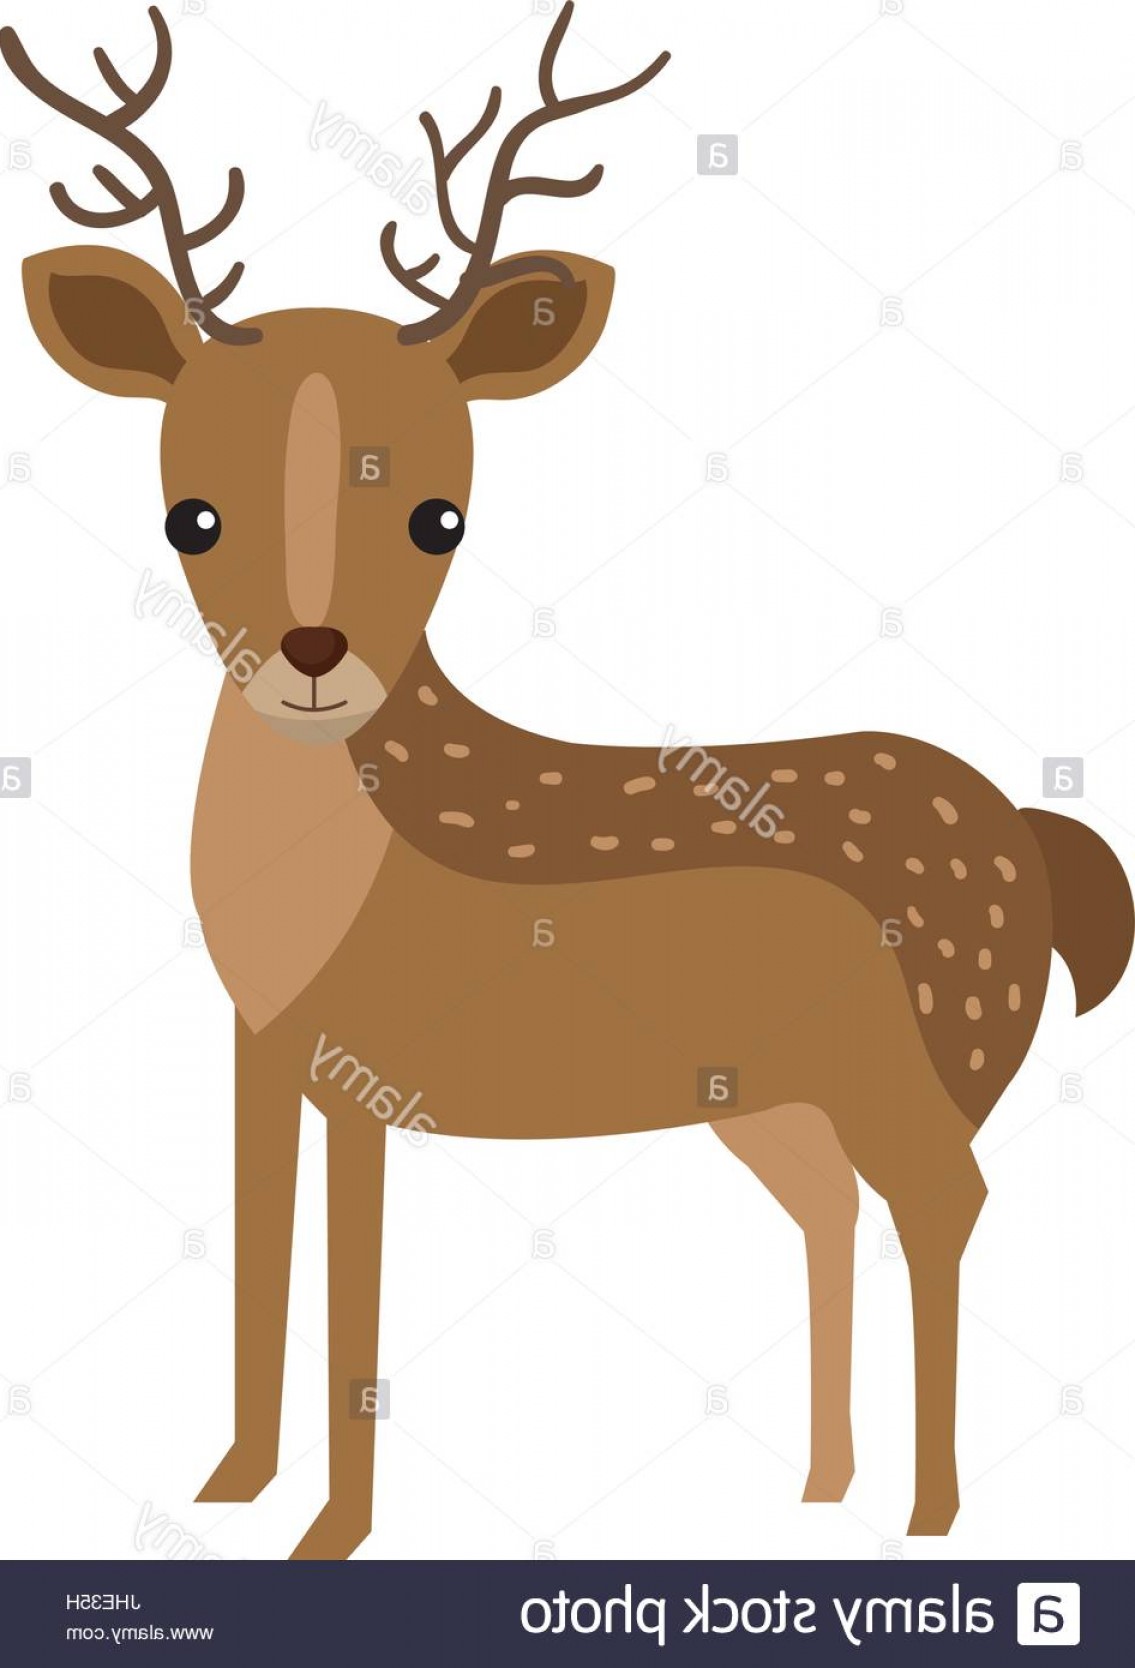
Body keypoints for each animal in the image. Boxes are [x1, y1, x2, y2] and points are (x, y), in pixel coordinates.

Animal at [4, 2, 1132, 1561]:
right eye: (192, 514)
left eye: (440, 516)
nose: (314, 660)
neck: (317, 901)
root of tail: (1028, 836)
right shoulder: (259, 1053)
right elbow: (260, 1257)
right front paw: (222, 1487)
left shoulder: (372, 1068)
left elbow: (351, 1293)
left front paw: (328, 1537)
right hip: (774, 1104)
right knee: (831, 1213)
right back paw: (815, 1492)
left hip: (930, 1063)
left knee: (944, 1200)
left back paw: (927, 1517)